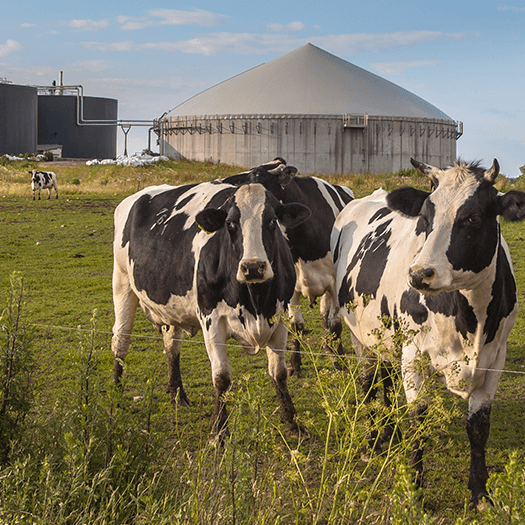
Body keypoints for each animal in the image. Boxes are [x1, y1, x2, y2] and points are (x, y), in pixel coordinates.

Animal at [111, 180, 311, 439]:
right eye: (230, 223)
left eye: (272, 220)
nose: (253, 267)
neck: (255, 301)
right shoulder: (211, 320)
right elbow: (221, 377)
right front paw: (218, 431)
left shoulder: (280, 317)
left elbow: (279, 373)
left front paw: (293, 424)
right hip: (122, 283)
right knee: (120, 340)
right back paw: (117, 393)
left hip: (169, 309)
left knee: (171, 346)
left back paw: (177, 393)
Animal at [223, 159, 354, 376]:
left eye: (257, 174)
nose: (227, 184)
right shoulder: (291, 287)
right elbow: (296, 325)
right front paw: (294, 364)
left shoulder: (335, 284)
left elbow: (335, 323)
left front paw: (339, 362)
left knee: (327, 317)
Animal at [330, 158, 525, 507]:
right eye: (424, 217)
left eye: (471, 217)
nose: (420, 274)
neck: (470, 321)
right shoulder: (413, 355)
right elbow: (417, 421)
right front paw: (415, 490)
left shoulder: (495, 359)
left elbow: (479, 426)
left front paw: (479, 493)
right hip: (358, 335)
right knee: (368, 382)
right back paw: (373, 441)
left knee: (385, 378)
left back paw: (388, 431)